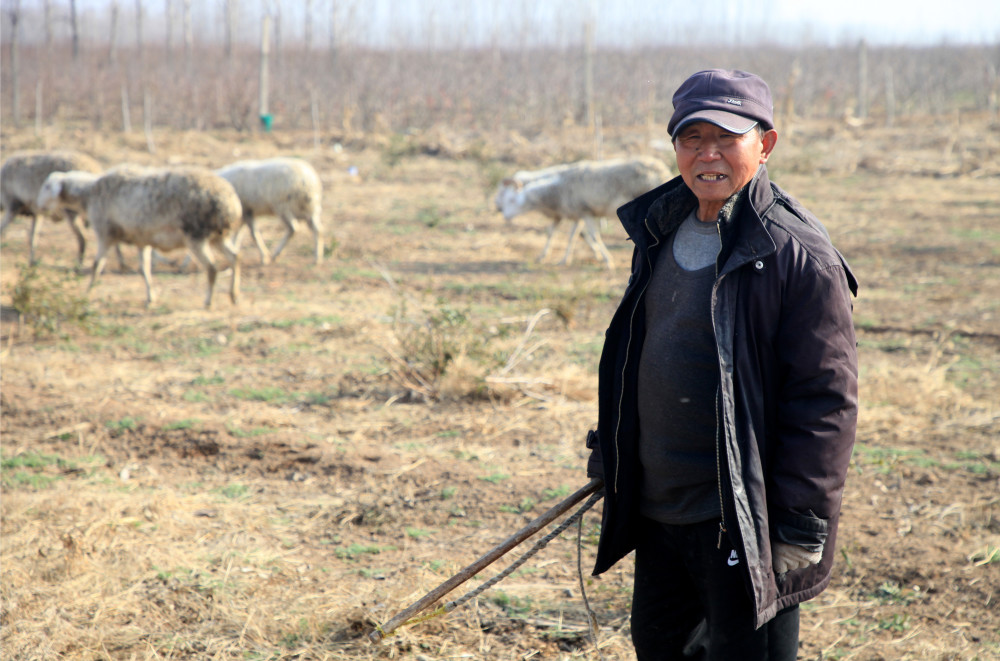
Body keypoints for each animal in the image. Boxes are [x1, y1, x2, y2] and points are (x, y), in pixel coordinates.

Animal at [73, 165, 244, 310]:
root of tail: (229, 202)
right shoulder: (142, 241)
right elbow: (145, 269)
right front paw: (151, 298)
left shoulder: (105, 233)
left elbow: (97, 265)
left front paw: (87, 294)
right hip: (219, 237)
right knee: (235, 256)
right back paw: (234, 296)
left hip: (196, 236)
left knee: (212, 267)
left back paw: (208, 302)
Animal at [494, 156, 672, 270]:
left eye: (510, 199)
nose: (502, 213)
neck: (558, 189)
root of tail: (663, 168)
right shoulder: (575, 214)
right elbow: (567, 235)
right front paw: (560, 259)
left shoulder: (585, 213)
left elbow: (592, 236)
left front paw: (607, 259)